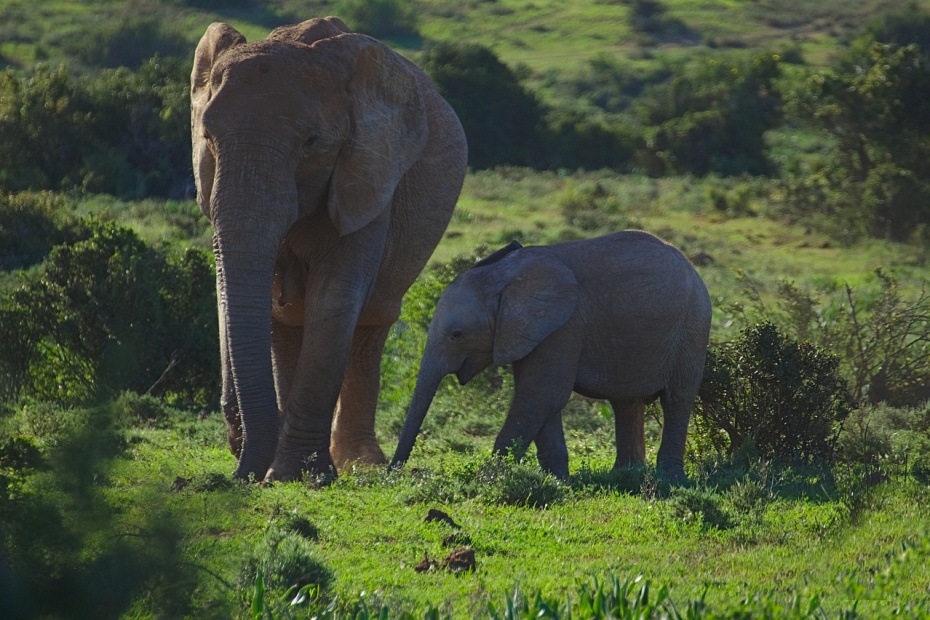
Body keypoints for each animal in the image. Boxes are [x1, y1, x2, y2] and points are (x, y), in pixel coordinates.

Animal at [189, 15, 468, 480]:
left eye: (311, 142)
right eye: (207, 136)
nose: (241, 470)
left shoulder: (368, 173)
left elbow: (334, 298)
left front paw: (298, 477)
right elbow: (267, 300)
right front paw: (284, 473)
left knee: (371, 321)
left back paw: (360, 465)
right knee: (289, 322)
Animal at [388, 230, 708, 478]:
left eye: (456, 334)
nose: (393, 474)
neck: (503, 277)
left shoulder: (564, 326)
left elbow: (540, 396)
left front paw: (491, 477)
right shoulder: (528, 332)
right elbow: (543, 401)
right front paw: (557, 480)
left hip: (692, 328)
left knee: (676, 399)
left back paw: (668, 479)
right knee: (625, 402)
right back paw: (626, 475)